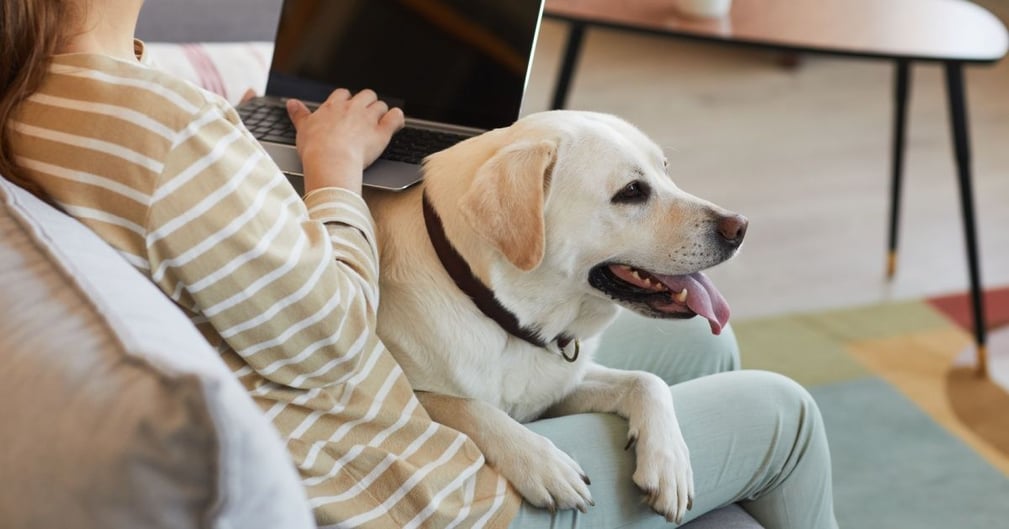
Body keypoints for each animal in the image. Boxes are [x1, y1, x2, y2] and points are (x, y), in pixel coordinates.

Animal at [367, 109, 746, 520]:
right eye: (631, 191)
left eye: (665, 169)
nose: (739, 227)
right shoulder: (407, 394)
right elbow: (465, 407)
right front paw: (541, 463)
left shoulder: (558, 388)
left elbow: (647, 381)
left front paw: (669, 463)